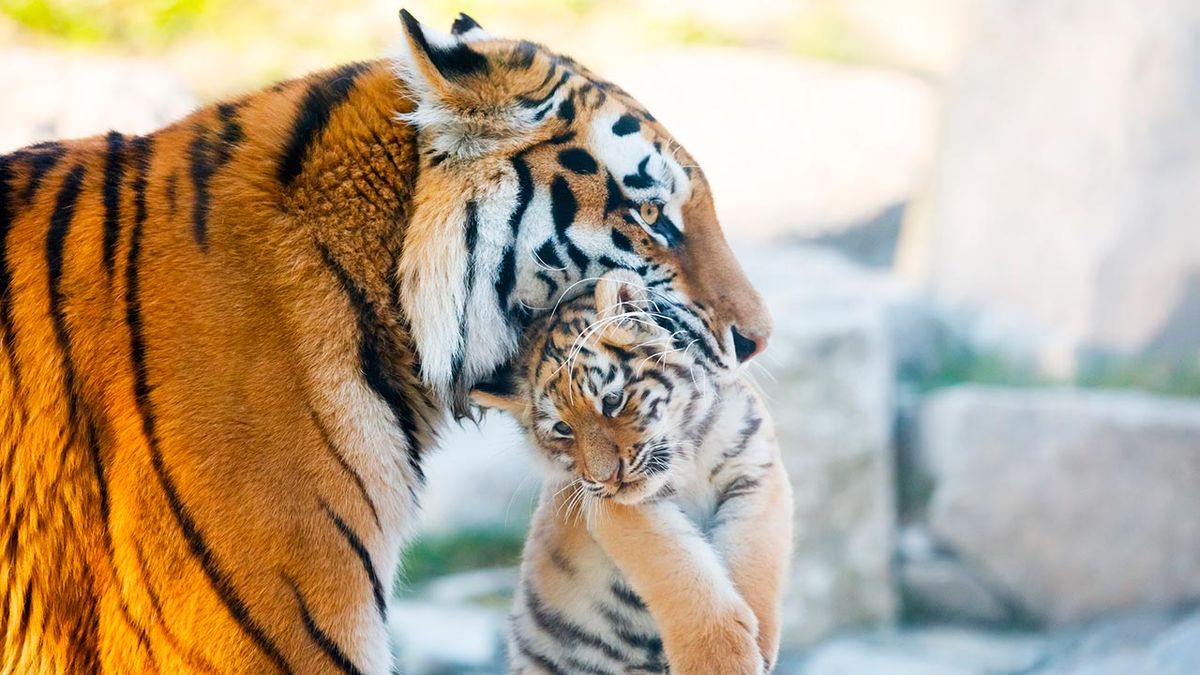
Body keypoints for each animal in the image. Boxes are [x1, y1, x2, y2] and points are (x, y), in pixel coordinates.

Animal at [471, 271, 792, 675]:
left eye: (612, 400)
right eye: (562, 429)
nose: (607, 477)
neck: (687, 451)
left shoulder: (754, 466)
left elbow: (755, 558)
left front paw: (758, 643)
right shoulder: (615, 508)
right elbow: (677, 568)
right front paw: (719, 661)